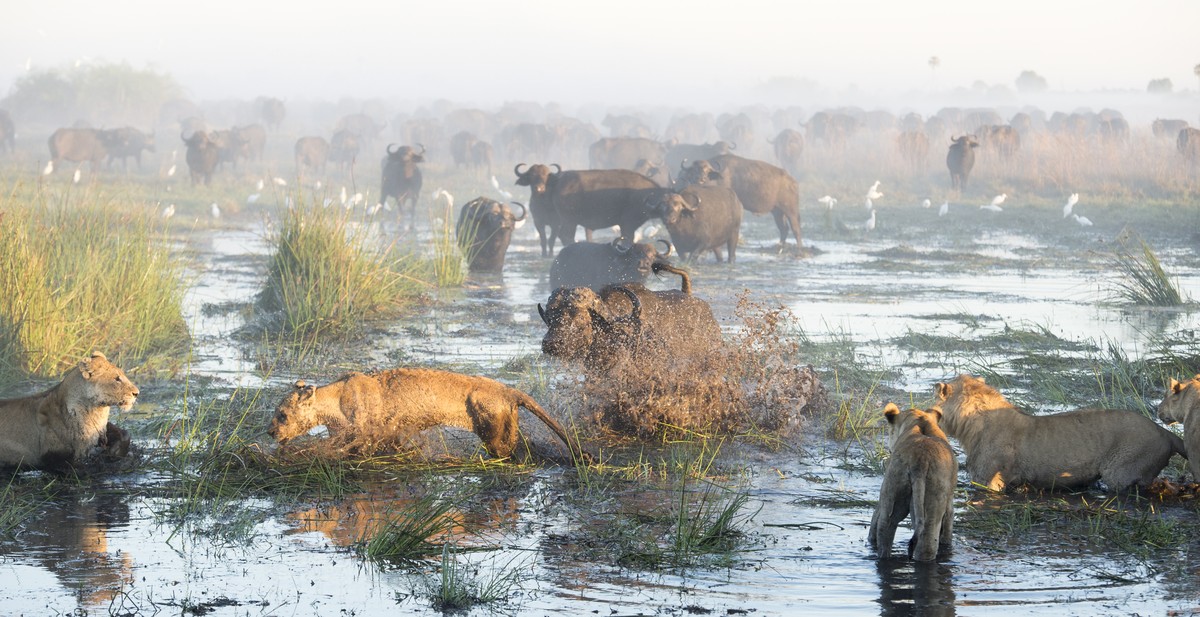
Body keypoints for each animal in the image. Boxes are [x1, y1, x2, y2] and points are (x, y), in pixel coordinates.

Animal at [0, 352, 139, 470]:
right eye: (117, 379)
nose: (137, 393)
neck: (95, 412)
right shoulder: (54, 456)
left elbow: (125, 434)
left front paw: (116, 451)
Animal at [869, 403, 957, 561]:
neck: (920, 421)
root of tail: (921, 460)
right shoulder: (950, 504)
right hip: (931, 497)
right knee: (926, 543)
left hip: (894, 488)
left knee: (885, 529)